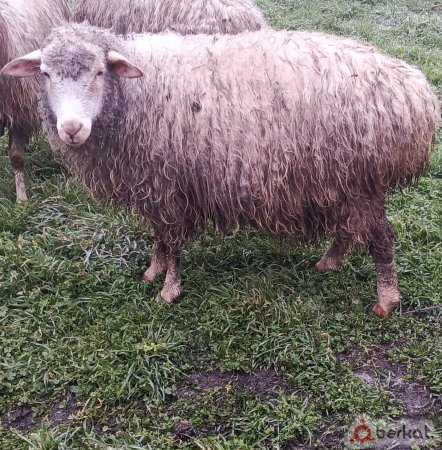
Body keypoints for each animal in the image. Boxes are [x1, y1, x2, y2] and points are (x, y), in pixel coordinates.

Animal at [2, 23, 439, 317]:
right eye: (45, 74)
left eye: (98, 72)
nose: (72, 129)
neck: (136, 94)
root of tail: (417, 95)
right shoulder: (153, 184)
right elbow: (159, 236)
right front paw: (153, 271)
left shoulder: (169, 184)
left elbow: (173, 241)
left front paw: (169, 290)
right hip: (341, 181)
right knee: (350, 229)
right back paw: (328, 263)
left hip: (361, 180)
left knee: (382, 238)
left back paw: (386, 299)